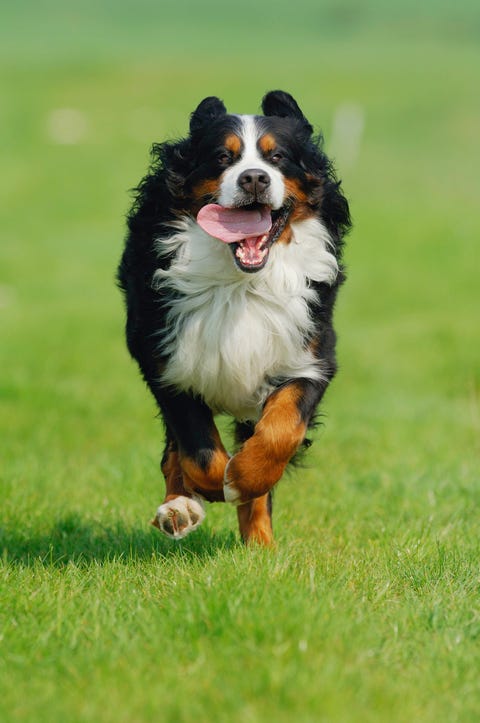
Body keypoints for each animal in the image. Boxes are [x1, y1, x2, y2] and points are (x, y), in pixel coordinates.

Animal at [116, 89, 348, 544]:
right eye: (223, 157)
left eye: (278, 158)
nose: (254, 178)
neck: (241, 284)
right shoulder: (165, 358)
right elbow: (197, 447)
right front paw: (212, 486)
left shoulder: (311, 354)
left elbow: (281, 430)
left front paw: (243, 478)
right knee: (174, 453)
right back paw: (179, 508)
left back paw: (259, 545)